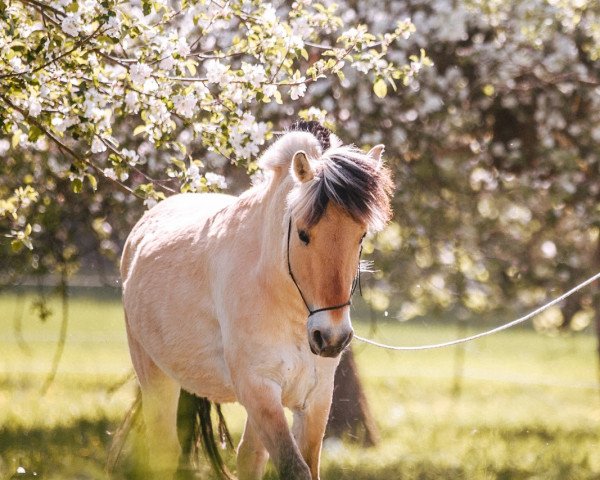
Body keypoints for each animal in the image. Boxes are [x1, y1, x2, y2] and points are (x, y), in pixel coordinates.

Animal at [120, 122, 394, 478]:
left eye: (361, 236)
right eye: (303, 234)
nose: (331, 338)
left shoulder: (316, 397)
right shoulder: (259, 389)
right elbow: (294, 468)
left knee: (248, 456)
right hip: (156, 376)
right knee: (164, 450)